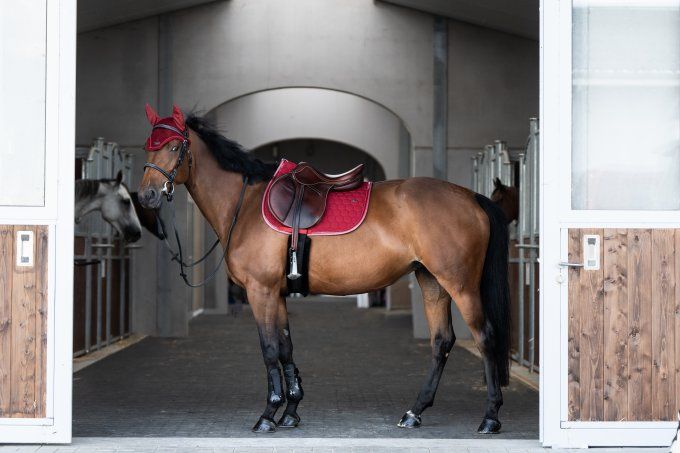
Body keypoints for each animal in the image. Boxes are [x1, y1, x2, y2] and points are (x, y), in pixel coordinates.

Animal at [137, 104, 511, 435]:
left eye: (174, 146)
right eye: (147, 146)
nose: (147, 195)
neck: (246, 205)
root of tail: (470, 197)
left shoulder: (260, 290)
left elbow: (269, 350)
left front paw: (268, 415)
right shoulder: (278, 294)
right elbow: (286, 348)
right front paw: (290, 412)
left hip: (460, 285)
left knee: (485, 337)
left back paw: (490, 418)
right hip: (432, 282)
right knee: (440, 341)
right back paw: (414, 412)